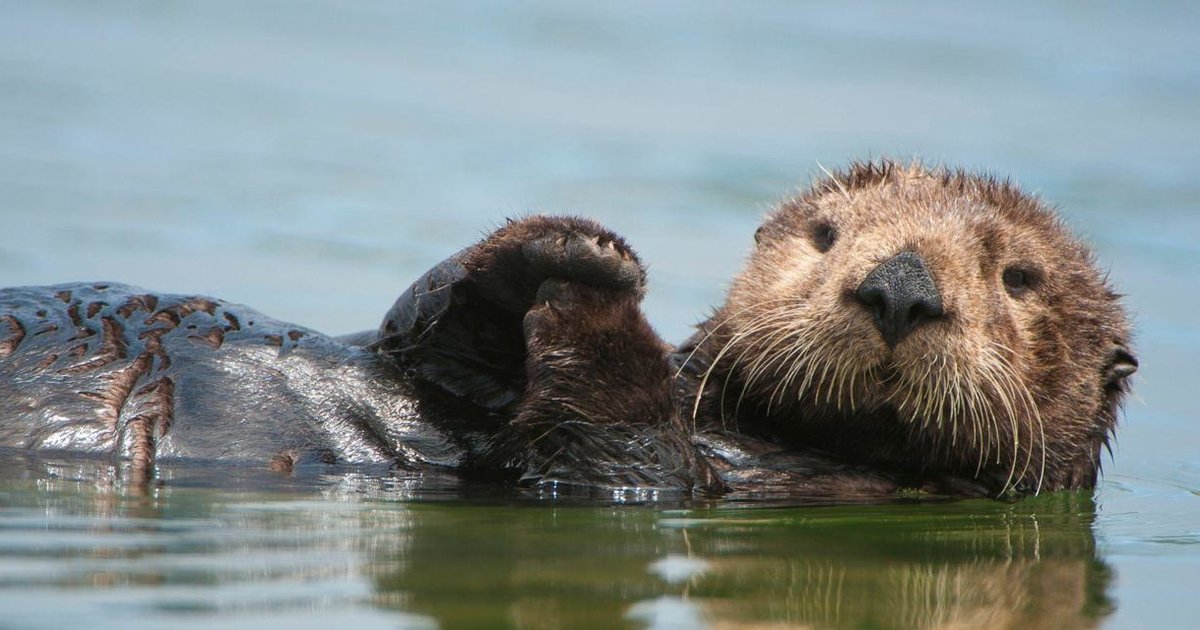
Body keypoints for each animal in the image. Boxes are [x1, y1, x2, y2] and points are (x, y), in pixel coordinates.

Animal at [0, 162, 1136, 497]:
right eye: (827, 234)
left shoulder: (652, 477)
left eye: (1019, 276)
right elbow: (421, 333)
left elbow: (599, 447)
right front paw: (570, 247)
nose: (898, 287)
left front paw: (594, 287)